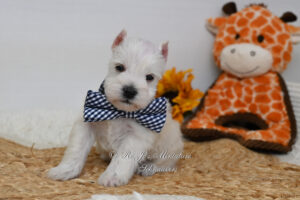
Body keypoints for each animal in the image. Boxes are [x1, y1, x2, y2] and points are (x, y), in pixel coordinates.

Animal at [47, 30, 183, 187]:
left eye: (149, 77)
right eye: (119, 67)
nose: (129, 91)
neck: (119, 111)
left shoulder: (136, 138)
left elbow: (121, 159)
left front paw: (112, 177)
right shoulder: (86, 124)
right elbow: (76, 150)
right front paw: (64, 170)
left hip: (169, 150)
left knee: (165, 163)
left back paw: (148, 167)